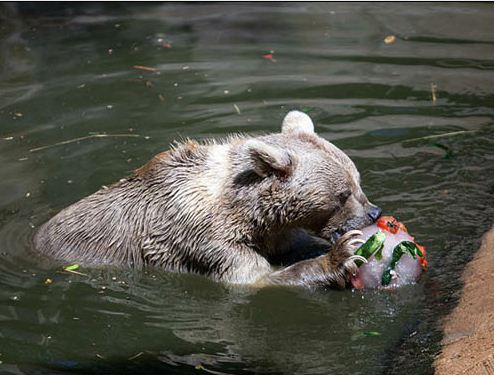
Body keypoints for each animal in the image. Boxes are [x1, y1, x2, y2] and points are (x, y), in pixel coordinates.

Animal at [33, 111, 382, 288]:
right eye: (342, 195)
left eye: (357, 181)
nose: (374, 213)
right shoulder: (202, 236)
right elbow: (253, 277)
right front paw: (343, 254)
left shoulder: (273, 229)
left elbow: (291, 245)